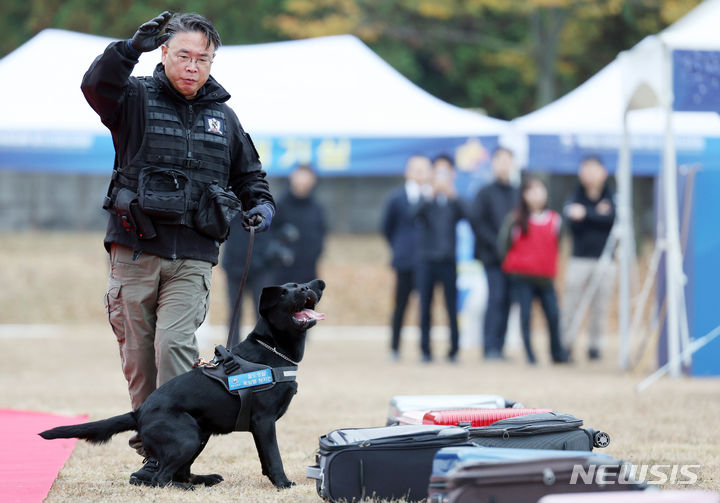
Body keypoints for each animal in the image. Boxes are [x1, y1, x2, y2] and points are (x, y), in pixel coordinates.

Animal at [40, 278, 328, 490]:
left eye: (300, 284)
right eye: (284, 293)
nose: (307, 289)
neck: (273, 350)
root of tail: (139, 411)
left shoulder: (261, 426)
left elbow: (265, 460)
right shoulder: (264, 421)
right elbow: (274, 457)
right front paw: (283, 484)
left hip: (200, 434)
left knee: (180, 472)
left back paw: (204, 480)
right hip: (188, 436)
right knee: (161, 479)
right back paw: (185, 487)